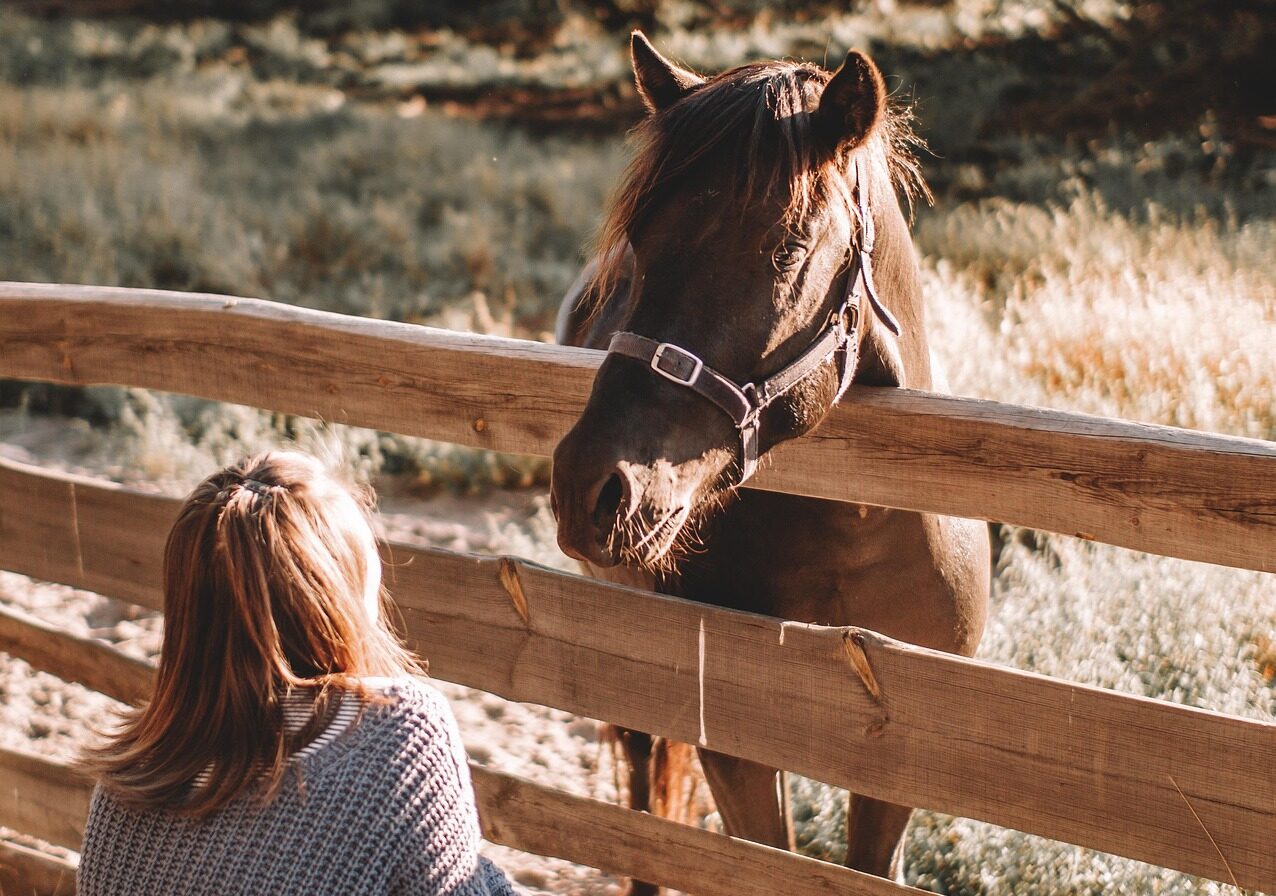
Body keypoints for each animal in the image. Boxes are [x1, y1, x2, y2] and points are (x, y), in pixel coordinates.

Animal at [550, 32, 990, 890]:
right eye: (638, 242)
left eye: (787, 248)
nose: (591, 487)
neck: (856, 528)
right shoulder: (741, 750)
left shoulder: (904, 749)